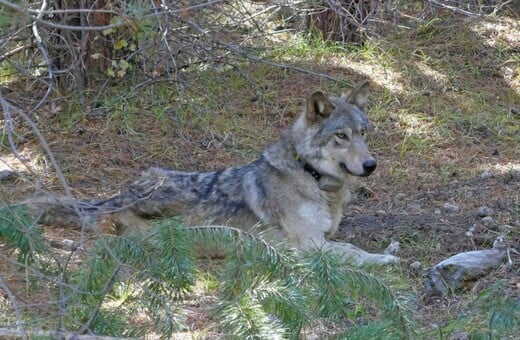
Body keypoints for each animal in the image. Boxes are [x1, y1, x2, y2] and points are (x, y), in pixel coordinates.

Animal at [37, 81, 398, 266]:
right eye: (342, 136)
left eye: (363, 133)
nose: (371, 165)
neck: (312, 176)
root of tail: (119, 194)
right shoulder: (309, 244)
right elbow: (353, 252)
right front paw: (383, 259)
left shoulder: (323, 237)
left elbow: (348, 244)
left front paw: (388, 250)